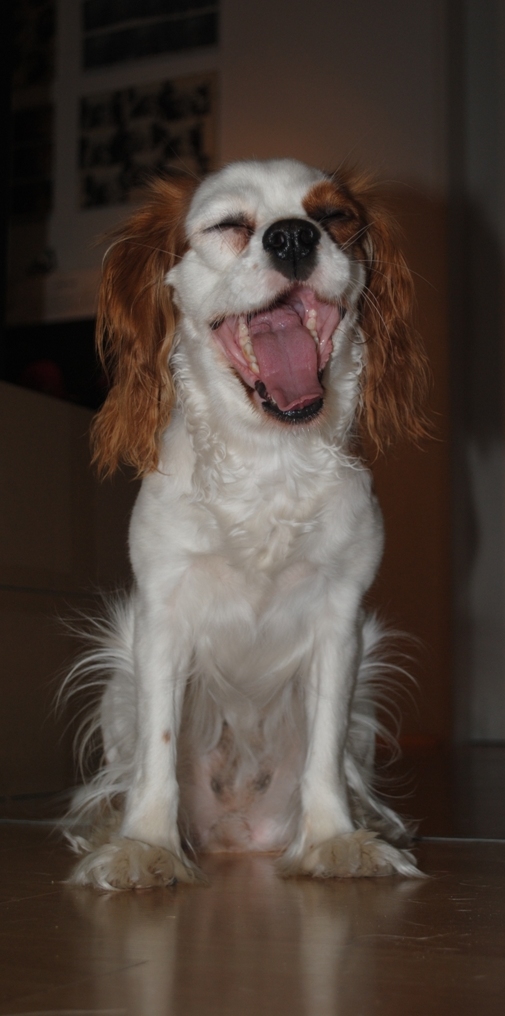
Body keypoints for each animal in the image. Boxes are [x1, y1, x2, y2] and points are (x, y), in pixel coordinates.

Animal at [65, 158, 429, 889]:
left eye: (334, 217)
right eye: (229, 225)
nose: (292, 237)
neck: (271, 455)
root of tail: (236, 838)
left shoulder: (341, 623)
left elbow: (322, 753)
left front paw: (332, 840)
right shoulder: (161, 617)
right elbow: (157, 750)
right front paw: (145, 846)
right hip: (119, 680)